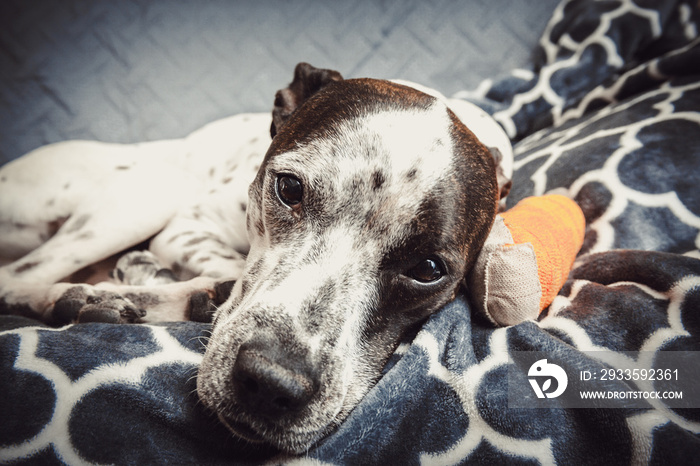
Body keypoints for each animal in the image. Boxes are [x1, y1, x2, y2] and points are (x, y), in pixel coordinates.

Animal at [1, 63, 516, 454]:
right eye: (289, 188)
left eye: (427, 270)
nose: (271, 384)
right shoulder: (188, 225)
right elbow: (224, 267)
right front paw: (183, 288)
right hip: (156, 188)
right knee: (13, 278)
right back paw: (81, 296)